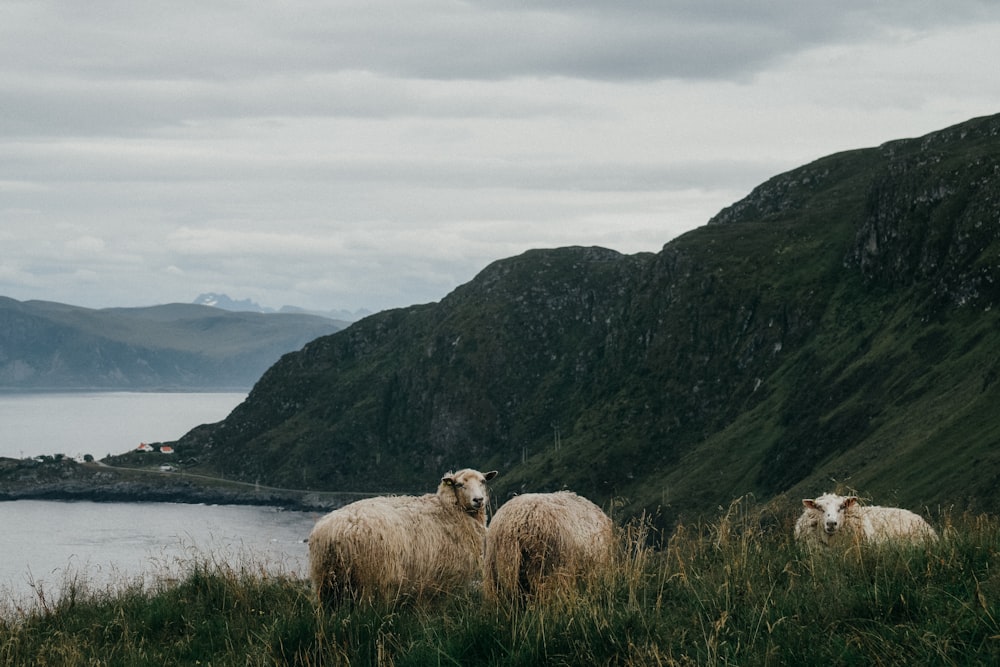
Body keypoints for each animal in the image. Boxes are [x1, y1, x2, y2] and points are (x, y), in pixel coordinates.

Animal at [306, 470, 498, 604]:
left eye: (482, 481)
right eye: (459, 485)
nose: (478, 500)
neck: (448, 509)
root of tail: (335, 532)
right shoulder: (446, 579)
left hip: (326, 582)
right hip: (370, 580)